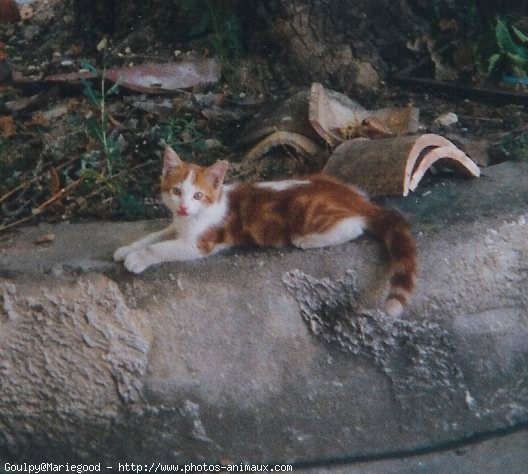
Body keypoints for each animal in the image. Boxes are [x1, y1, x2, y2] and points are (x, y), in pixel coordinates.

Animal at [114, 144, 416, 314]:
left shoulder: (201, 243)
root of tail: (356, 199)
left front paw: (138, 258)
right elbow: (156, 235)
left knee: (353, 227)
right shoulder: (177, 224)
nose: (185, 207)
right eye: (176, 191)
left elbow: (161, 247)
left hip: (310, 213)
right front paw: (127, 248)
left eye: (198, 195)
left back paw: (309, 240)